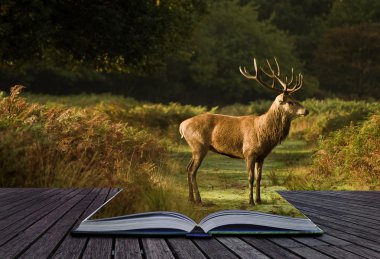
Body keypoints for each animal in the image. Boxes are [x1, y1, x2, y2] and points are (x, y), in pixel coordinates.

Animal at [179, 58, 308, 206]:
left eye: (296, 99)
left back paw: (190, 199)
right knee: (193, 170)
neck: (264, 133)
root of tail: (182, 126)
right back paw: (199, 200)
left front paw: (259, 200)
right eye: (290, 102)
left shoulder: (261, 156)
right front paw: (251, 201)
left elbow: (259, 177)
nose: (306, 110)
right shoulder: (249, 152)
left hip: (194, 147)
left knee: (188, 168)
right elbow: (250, 177)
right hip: (199, 145)